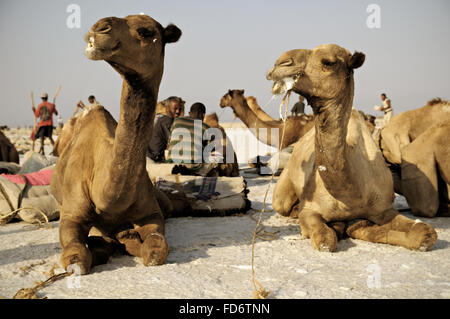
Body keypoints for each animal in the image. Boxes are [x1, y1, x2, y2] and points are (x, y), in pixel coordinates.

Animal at [49, 14, 181, 276]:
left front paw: (128, 238)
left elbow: (156, 248)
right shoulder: (71, 214)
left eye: (145, 31)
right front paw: (104, 244)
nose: (98, 28)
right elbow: (76, 256)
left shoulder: (151, 212)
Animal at [266, 43, 438, 252]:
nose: (280, 63)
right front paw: (339, 228)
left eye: (328, 62)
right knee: (283, 203)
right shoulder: (309, 210)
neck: (350, 190)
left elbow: (425, 233)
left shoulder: (384, 208)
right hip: (282, 190)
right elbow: (325, 239)